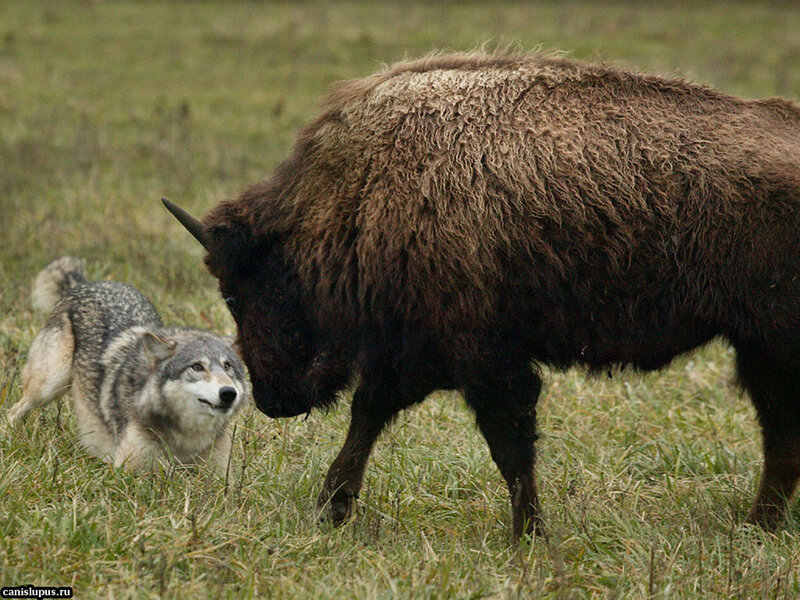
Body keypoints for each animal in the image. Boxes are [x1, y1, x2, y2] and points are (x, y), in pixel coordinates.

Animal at [7, 256, 251, 473]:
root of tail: (85, 284)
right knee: (14, 410)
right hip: (48, 386)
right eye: (197, 367)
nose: (228, 393)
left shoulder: (219, 477)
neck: (186, 438)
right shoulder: (129, 473)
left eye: (228, 367)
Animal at [164, 51, 800, 538]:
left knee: (780, 432)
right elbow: (368, 416)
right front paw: (332, 509)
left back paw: (758, 525)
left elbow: (508, 445)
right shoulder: (412, 352)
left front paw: (530, 536)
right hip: (760, 347)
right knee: (780, 433)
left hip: (770, 340)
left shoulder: (484, 358)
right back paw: (758, 527)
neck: (360, 191)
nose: (269, 398)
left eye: (238, 292)